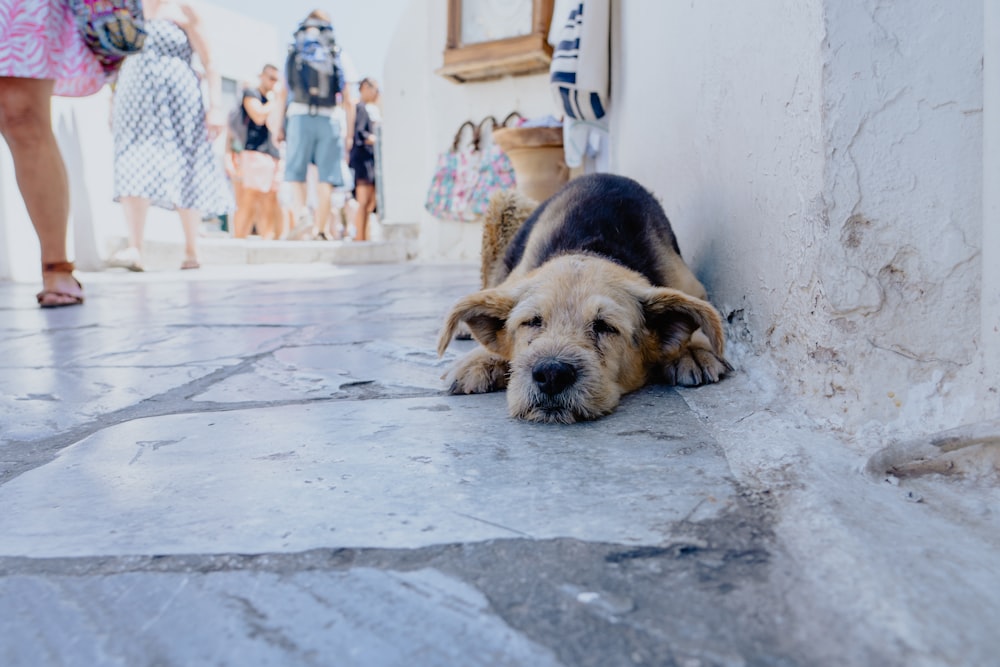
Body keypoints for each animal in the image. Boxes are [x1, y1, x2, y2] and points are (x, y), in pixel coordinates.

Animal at [436, 172, 728, 422]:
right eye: (531, 321)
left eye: (605, 326)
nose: (551, 375)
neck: (590, 247)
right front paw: (479, 359)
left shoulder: (690, 284)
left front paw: (692, 350)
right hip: (505, 205)